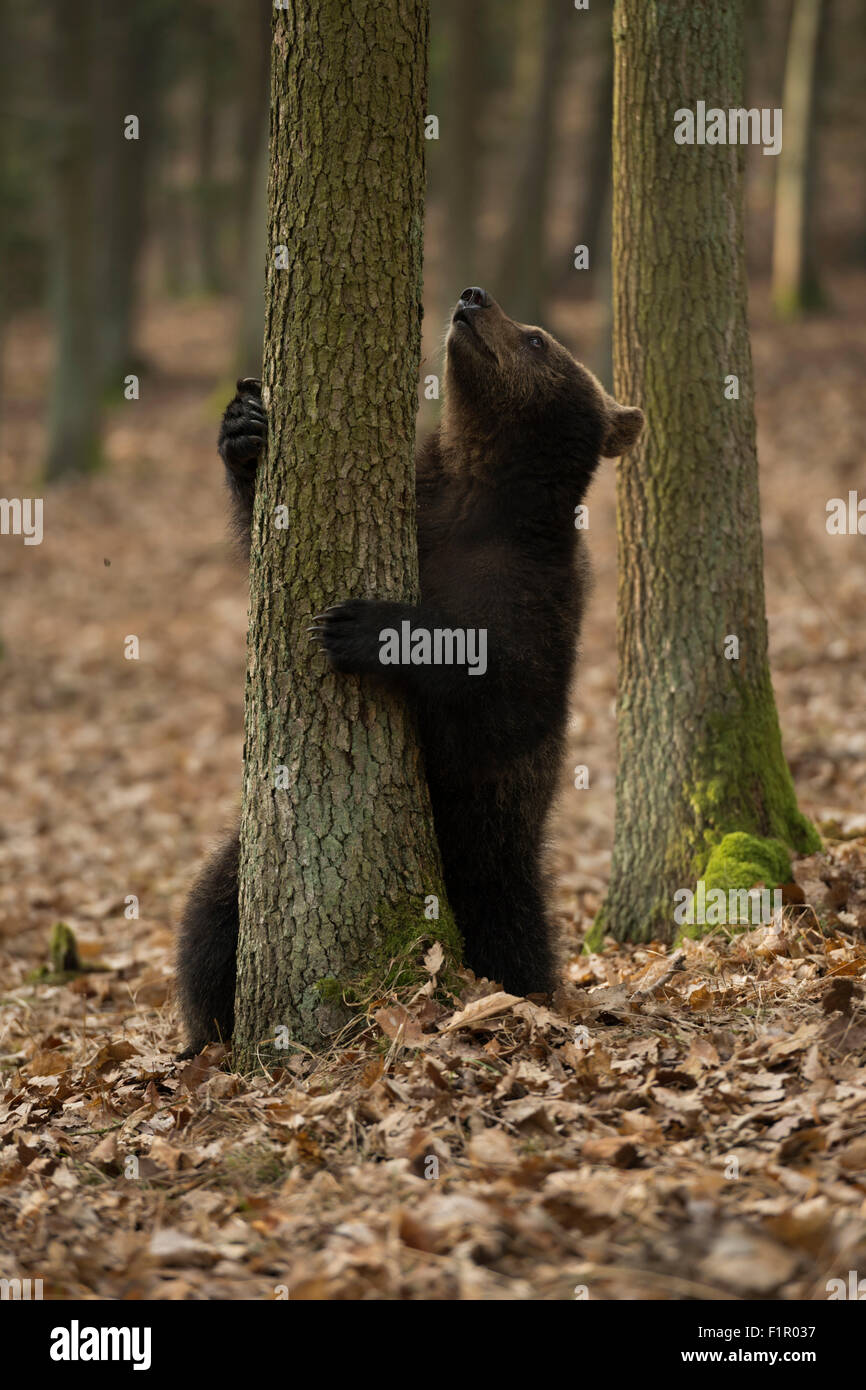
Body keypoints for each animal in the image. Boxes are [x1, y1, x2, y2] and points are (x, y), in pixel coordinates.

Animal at [176, 287, 643, 1054]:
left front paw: (360, 627)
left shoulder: (538, 593)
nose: (474, 298)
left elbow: (505, 698)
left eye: (538, 338)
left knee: (514, 939)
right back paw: (208, 1024)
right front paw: (244, 427)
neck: (478, 498)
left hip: (492, 854)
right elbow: (260, 550)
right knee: (214, 912)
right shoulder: (428, 512)